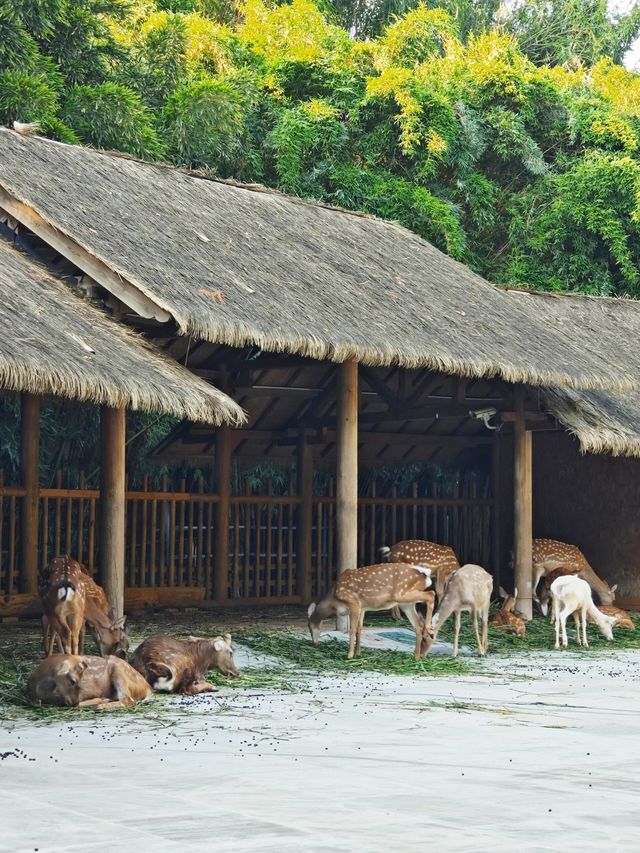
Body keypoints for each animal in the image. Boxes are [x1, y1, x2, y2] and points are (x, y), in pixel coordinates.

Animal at [308, 564, 438, 664]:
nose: (313, 643)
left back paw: (430, 630)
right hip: (406, 603)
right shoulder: (362, 608)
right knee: (418, 625)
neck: (334, 600)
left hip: (402, 594)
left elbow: (352, 630)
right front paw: (358, 653)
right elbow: (359, 629)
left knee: (431, 594)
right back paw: (416, 656)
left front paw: (349, 655)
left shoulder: (353, 603)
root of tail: (425, 574)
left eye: (309, 627)